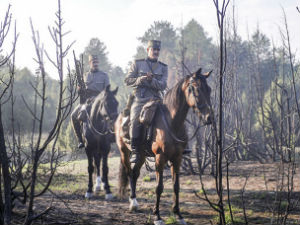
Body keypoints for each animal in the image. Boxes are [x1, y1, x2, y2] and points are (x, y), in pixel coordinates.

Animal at [115, 68, 213, 225]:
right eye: (196, 89)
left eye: (209, 89)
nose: (209, 118)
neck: (171, 123)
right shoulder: (160, 158)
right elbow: (159, 187)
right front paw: (157, 216)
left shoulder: (177, 158)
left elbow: (176, 186)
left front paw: (178, 214)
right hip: (124, 152)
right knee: (130, 173)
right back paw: (133, 203)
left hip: (142, 155)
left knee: (135, 174)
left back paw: (135, 203)